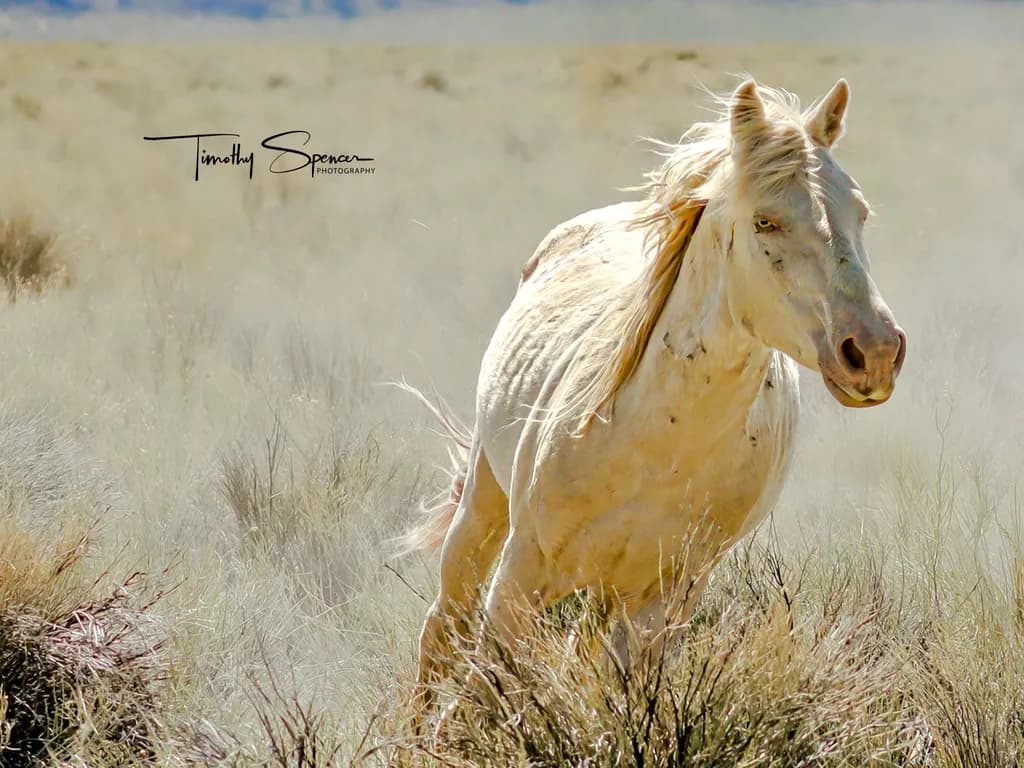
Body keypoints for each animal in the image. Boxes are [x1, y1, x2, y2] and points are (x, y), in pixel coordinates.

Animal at [404, 78, 906, 702]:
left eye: (860, 212)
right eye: (765, 222)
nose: (875, 352)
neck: (657, 444)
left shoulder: (664, 598)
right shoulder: (519, 577)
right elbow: (483, 698)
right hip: (484, 503)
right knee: (442, 627)